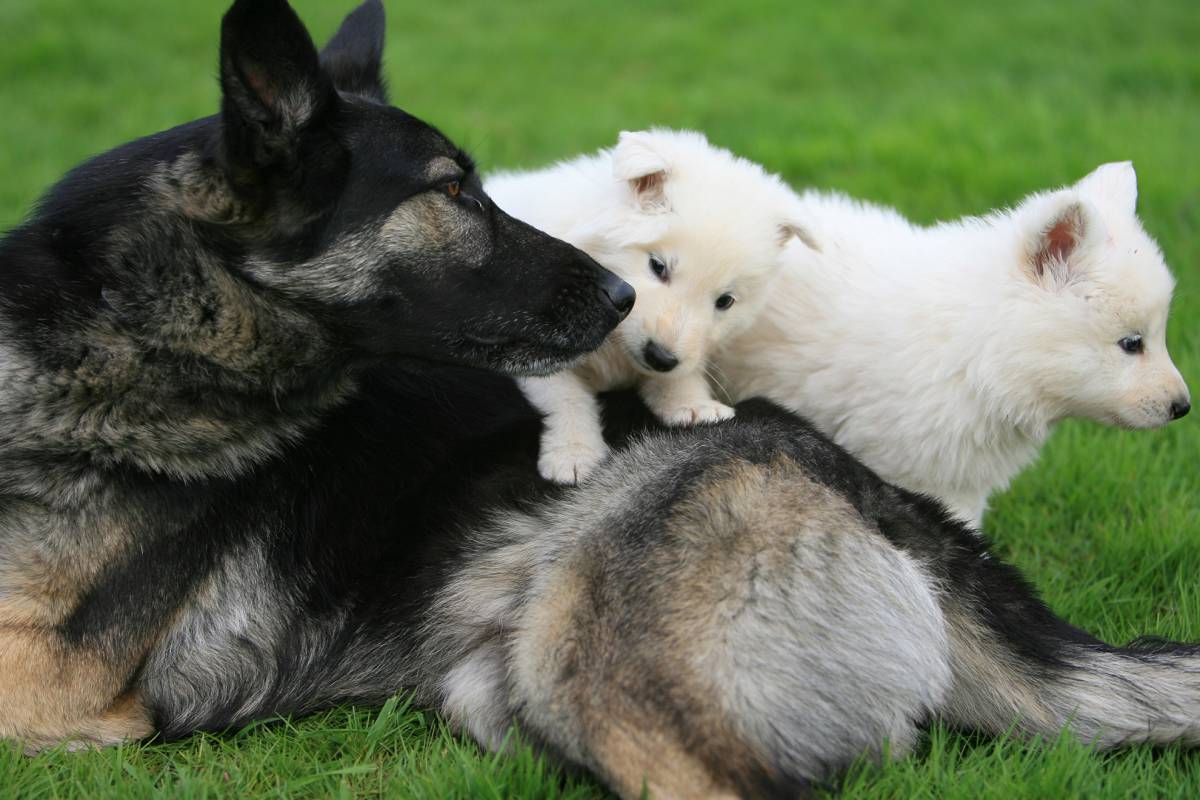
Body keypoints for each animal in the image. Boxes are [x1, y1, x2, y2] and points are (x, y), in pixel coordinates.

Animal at [487, 128, 816, 484]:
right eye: (658, 267)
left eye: (725, 301)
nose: (660, 357)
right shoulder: (535, 343)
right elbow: (565, 395)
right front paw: (574, 453)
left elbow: (684, 370)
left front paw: (692, 403)